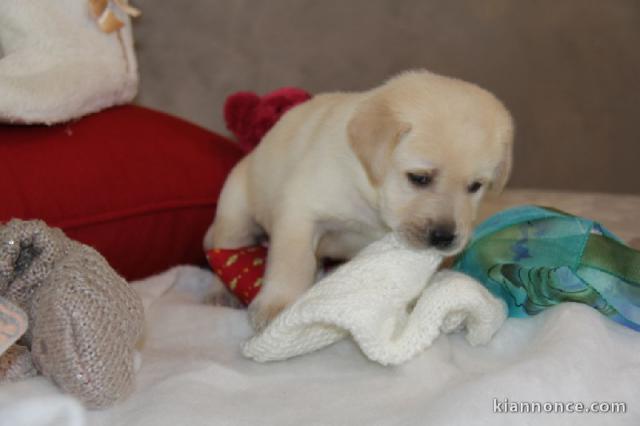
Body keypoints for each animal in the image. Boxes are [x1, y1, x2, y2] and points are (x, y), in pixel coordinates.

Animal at [205, 69, 516, 330]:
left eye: (476, 186)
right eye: (419, 178)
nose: (444, 238)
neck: (372, 203)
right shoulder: (300, 212)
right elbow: (291, 263)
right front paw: (278, 305)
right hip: (236, 214)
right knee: (224, 252)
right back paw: (221, 293)